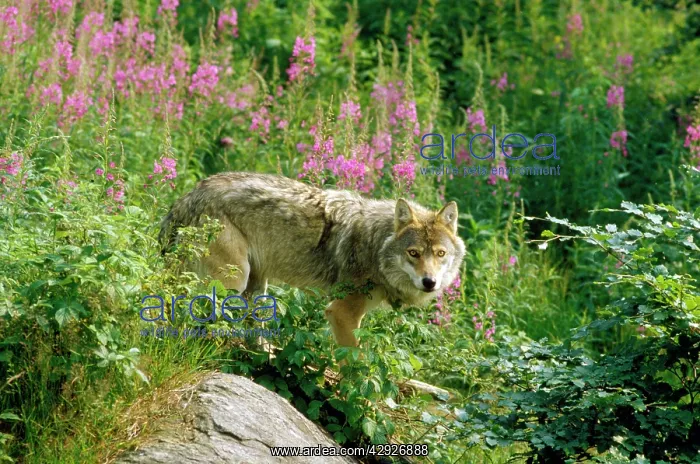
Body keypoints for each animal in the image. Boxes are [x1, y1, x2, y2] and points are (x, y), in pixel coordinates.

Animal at [159, 172, 465, 347]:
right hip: (233, 280)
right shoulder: (341, 314)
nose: (430, 282)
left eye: (440, 254)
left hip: (256, 284)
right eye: (413, 253)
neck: (375, 245)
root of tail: (190, 195)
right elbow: (355, 365)